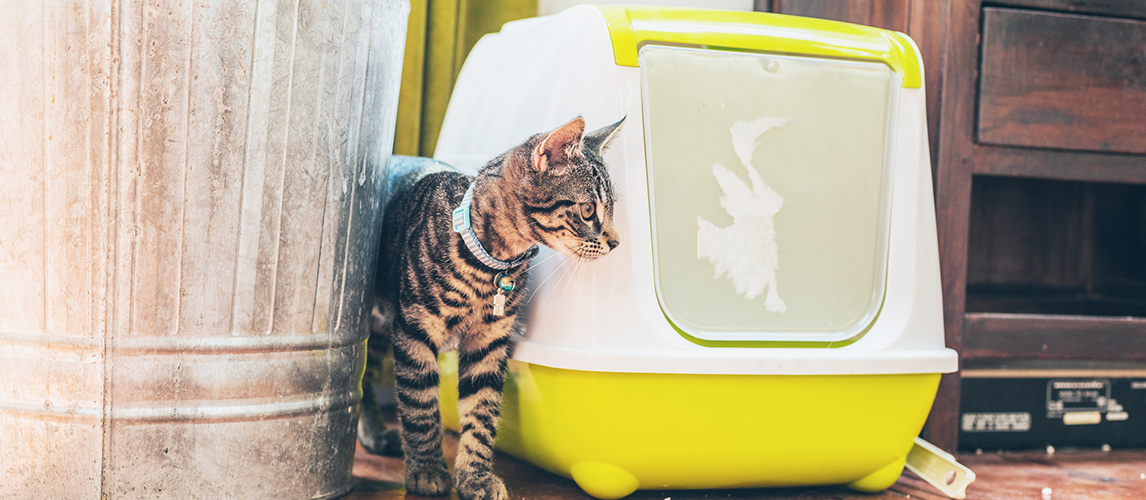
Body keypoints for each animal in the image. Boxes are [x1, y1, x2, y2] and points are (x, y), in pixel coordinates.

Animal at [362, 116, 623, 499]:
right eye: (588, 210)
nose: (616, 242)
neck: (493, 263)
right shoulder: (414, 332)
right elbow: (420, 404)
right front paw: (426, 469)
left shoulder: (489, 343)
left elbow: (481, 410)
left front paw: (474, 476)